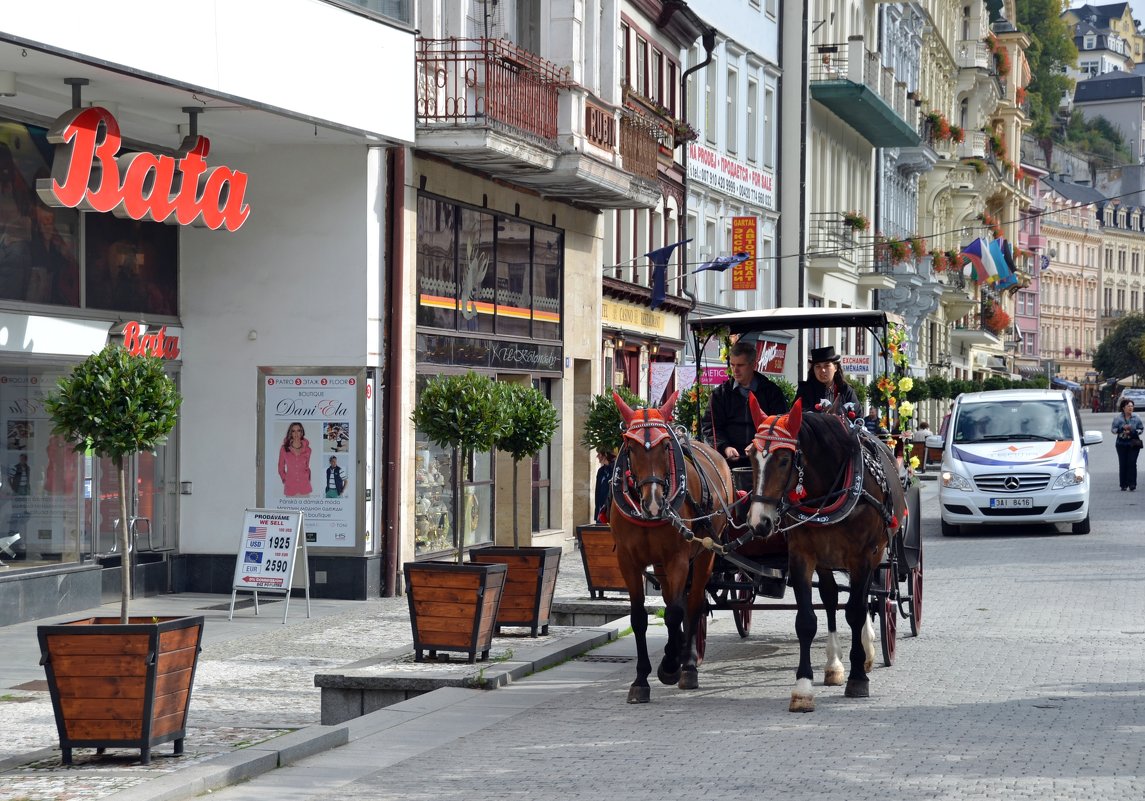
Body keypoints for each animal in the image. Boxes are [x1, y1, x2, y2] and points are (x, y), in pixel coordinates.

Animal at [609, 391, 732, 704]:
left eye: (666, 445)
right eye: (630, 445)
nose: (653, 503)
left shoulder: (678, 559)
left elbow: (677, 613)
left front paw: (670, 666)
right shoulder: (628, 562)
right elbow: (640, 618)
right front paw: (641, 680)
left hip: (706, 553)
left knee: (694, 603)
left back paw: (686, 664)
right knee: (674, 601)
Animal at [746, 398, 906, 709]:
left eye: (784, 460)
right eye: (751, 456)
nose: (759, 522)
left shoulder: (862, 556)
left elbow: (855, 611)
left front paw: (858, 678)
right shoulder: (802, 556)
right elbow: (807, 620)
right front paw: (803, 687)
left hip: (877, 552)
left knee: (867, 598)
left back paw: (866, 650)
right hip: (827, 560)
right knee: (831, 599)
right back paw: (834, 665)